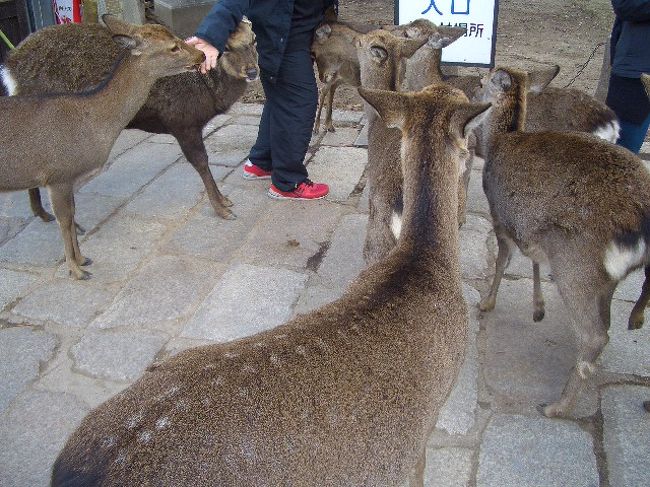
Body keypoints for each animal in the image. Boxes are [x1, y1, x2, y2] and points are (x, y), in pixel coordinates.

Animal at [0, 15, 205, 280]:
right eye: (173, 47)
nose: (201, 54)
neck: (93, 123)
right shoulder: (58, 175)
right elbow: (65, 220)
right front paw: (76, 270)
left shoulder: (69, 179)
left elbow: (73, 213)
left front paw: (82, 258)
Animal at [2, 17, 259, 221]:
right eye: (226, 47)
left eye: (254, 40)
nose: (253, 71)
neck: (207, 93)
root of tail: (9, 67)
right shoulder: (181, 120)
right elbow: (201, 163)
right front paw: (223, 208)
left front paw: (224, 200)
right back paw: (47, 214)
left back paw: (42, 212)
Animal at [475, 66, 650, 417]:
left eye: (486, 80)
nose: (474, 86)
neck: (499, 140)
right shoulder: (530, 227)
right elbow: (532, 259)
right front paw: (537, 309)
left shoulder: (500, 216)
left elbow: (503, 260)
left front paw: (486, 302)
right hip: (604, 275)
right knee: (605, 323)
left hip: (574, 262)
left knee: (595, 333)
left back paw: (558, 406)